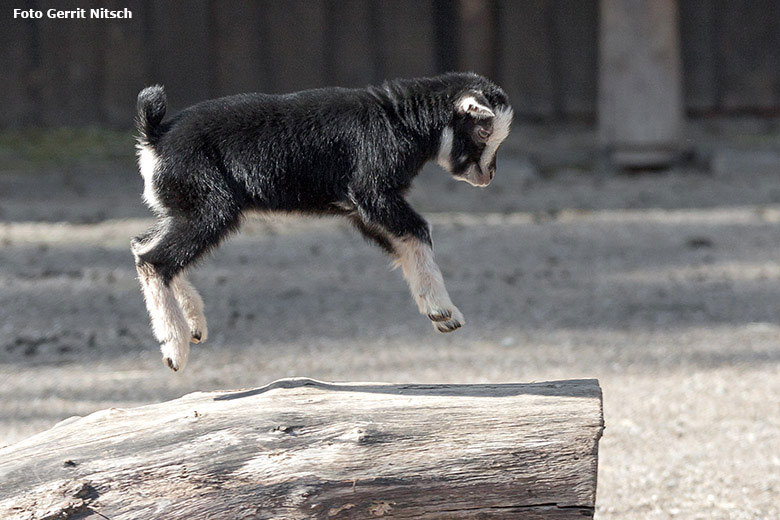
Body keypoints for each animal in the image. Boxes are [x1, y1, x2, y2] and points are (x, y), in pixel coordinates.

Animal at [133, 72, 512, 370]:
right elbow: (419, 230)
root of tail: (156, 137)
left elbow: (404, 241)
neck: (399, 119)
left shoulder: (359, 209)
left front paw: (442, 315)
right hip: (209, 205)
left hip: (183, 207)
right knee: (154, 261)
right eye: (482, 132)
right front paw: (442, 309)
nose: (488, 175)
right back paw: (175, 347)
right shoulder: (372, 190)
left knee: (142, 246)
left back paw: (194, 323)